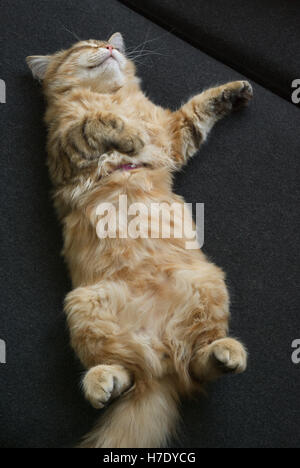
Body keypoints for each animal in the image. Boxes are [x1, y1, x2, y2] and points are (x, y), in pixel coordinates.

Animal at [27, 33, 251, 450]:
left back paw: (225, 353)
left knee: (196, 365)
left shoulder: (171, 133)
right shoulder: (63, 149)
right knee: (127, 374)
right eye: (87, 45)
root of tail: (159, 356)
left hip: (207, 284)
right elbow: (96, 122)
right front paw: (127, 135)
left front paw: (234, 92)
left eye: (107, 43)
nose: (109, 47)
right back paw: (101, 383)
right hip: (84, 308)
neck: (111, 95)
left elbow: (197, 109)